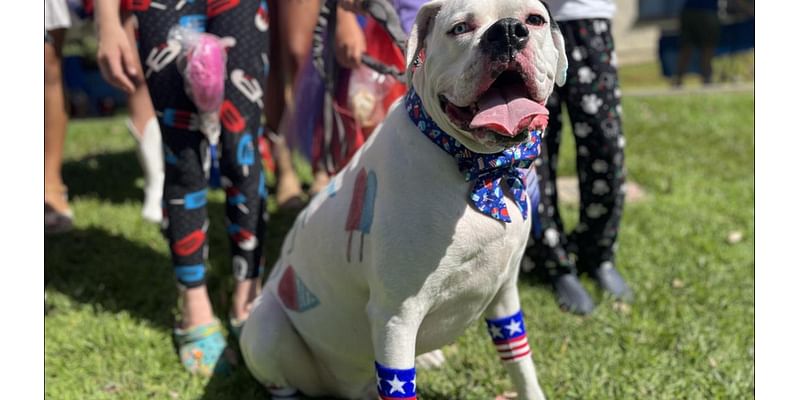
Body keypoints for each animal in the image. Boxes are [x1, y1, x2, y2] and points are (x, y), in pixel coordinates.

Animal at [241, 1, 564, 398]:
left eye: (535, 20)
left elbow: (520, 363)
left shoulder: (504, 295)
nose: (507, 31)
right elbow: (399, 380)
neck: (476, 169)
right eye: (459, 28)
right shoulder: (396, 317)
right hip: (265, 328)